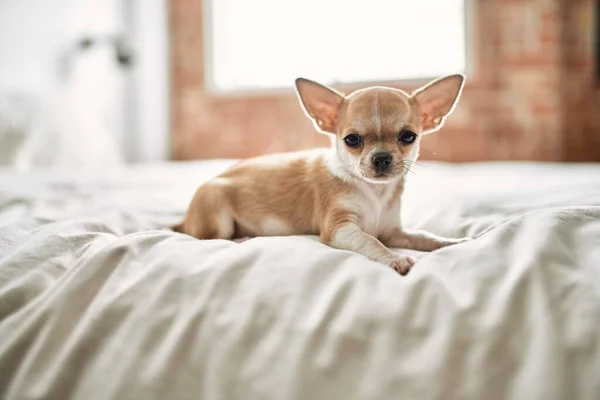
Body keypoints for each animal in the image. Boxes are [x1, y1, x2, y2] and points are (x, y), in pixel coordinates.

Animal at [176, 74, 472, 276]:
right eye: (352, 140)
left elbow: (422, 236)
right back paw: (240, 237)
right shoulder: (339, 229)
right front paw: (394, 259)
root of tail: (183, 220)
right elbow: (370, 239)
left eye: (408, 137)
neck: (373, 193)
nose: (381, 158)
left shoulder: (393, 231)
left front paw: (448, 242)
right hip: (217, 213)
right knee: (210, 237)